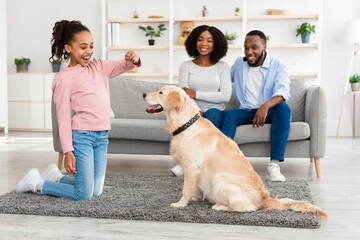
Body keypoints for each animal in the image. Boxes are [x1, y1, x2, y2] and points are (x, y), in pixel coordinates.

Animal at [143, 86, 326, 218]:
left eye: (160, 92)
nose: (144, 93)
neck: (185, 124)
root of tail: (266, 199)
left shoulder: (191, 167)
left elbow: (186, 188)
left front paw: (180, 204)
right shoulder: (196, 171)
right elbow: (196, 188)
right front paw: (195, 198)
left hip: (221, 178)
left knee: (246, 207)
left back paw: (220, 206)